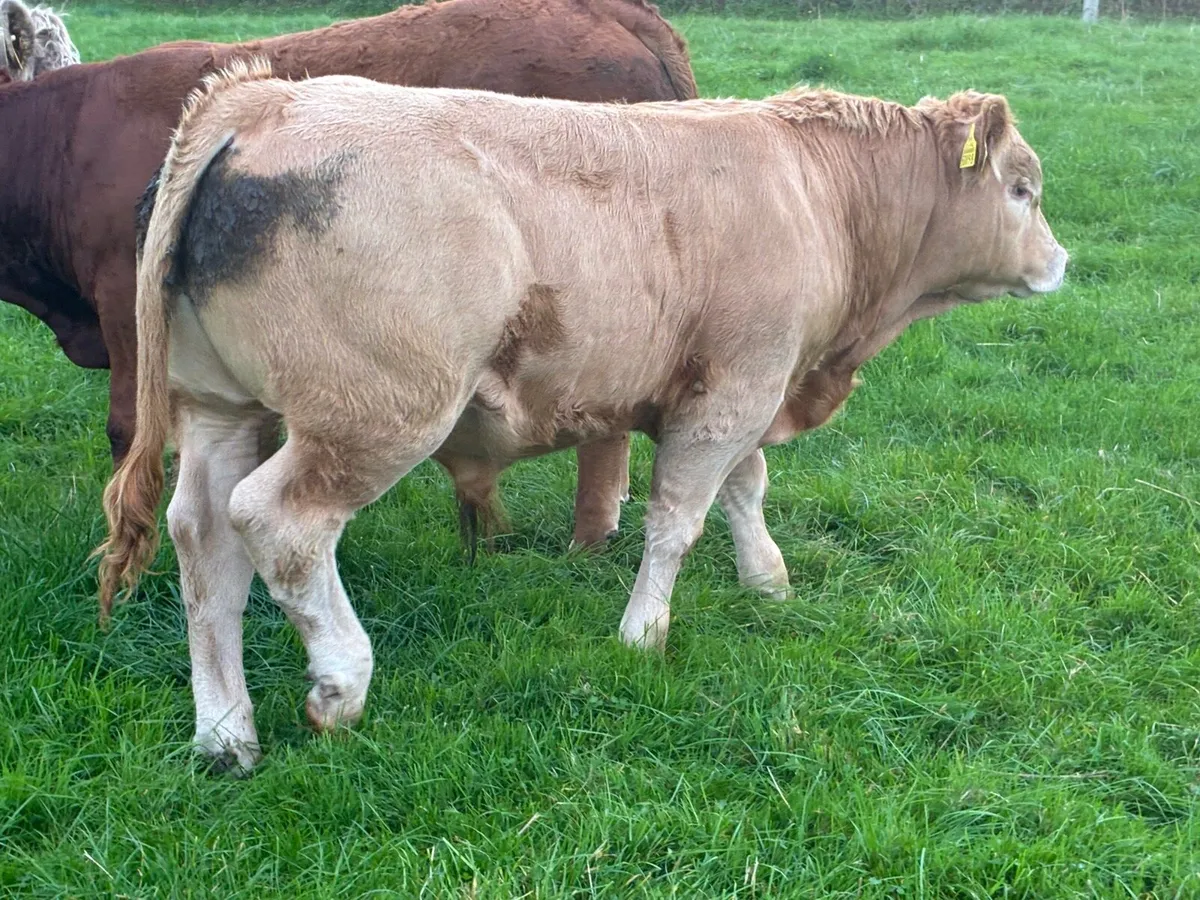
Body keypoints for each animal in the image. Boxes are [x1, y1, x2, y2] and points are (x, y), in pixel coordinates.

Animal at [97, 62, 1067, 772]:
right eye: (1022, 189)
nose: (1061, 262)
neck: (813, 187)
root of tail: (262, 98)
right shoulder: (736, 388)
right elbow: (679, 517)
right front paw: (645, 634)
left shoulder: (734, 391)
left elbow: (745, 488)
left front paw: (766, 580)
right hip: (373, 417)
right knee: (280, 523)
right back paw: (341, 680)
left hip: (223, 409)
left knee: (203, 542)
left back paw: (226, 733)